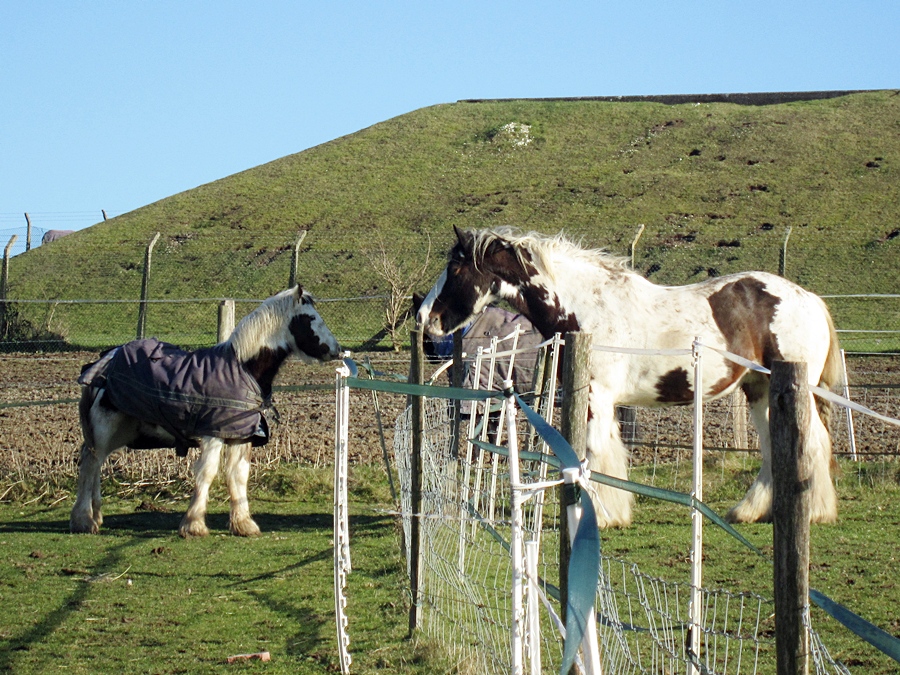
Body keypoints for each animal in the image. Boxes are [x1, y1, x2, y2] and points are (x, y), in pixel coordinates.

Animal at [70, 285, 341, 537]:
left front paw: (243, 524)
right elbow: (208, 472)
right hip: (106, 426)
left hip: (122, 431)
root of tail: (105, 360)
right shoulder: (214, 434)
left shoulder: (240, 436)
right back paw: (84, 520)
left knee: (97, 461)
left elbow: (239, 475)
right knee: (90, 463)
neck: (243, 370)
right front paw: (194, 525)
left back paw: (96, 516)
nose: (336, 349)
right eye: (311, 318)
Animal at [417, 226, 842, 527]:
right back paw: (751, 511)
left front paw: (600, 515)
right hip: (760, 391)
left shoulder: (597, 396)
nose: (425, 319)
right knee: (773, 449)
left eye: (455, 268)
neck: (587, 308)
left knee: (812, 443)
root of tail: (809, 299)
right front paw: (613, 512)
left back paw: (815, 510)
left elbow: (594, 452)